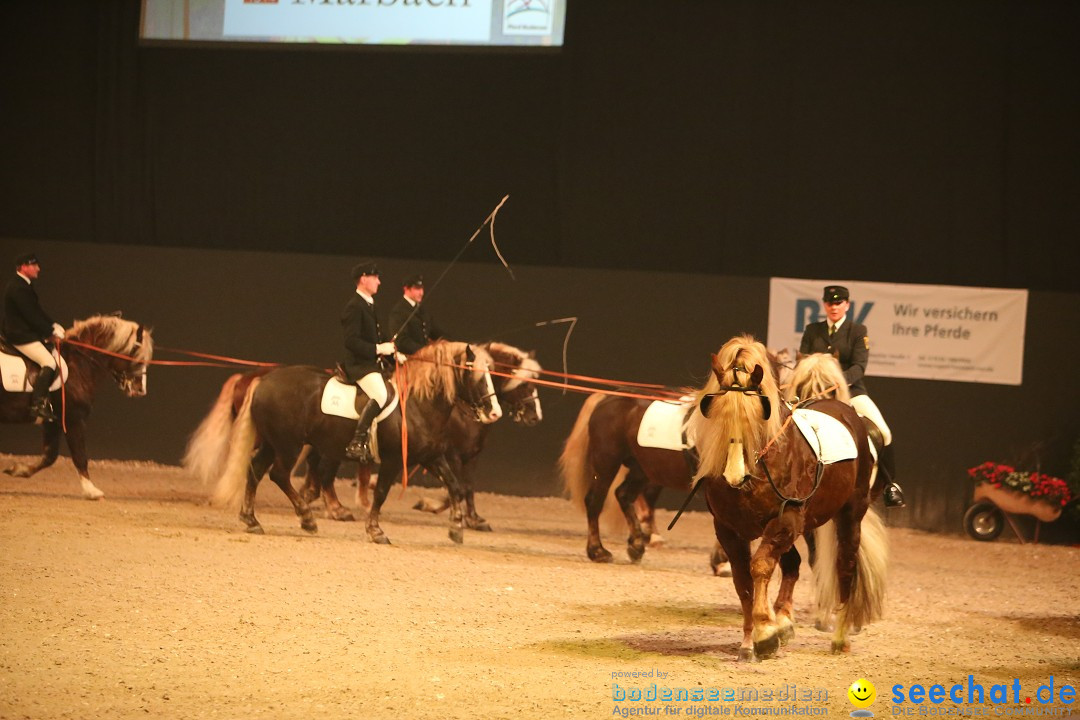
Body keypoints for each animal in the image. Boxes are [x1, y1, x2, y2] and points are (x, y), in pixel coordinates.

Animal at [1, 315, 154, 500]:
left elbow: (49, 456)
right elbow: (80, 456)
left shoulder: (52, 422)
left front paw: (19, 470)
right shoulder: (74, 419)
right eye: (135, 355)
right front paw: (91, 490)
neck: (79, 364)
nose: (141, 390)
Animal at [691, 334, 885, 660]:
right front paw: (751, 640)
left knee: (845, 565)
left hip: (849, 515)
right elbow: (743, 580)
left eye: (759, 413)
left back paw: (840, 636)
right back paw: (784, 621)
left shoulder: (786, 519)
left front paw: (765, 633)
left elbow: (759, 567)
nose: (734, 476)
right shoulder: (729, 529)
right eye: (716, 409)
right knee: (793, 563)